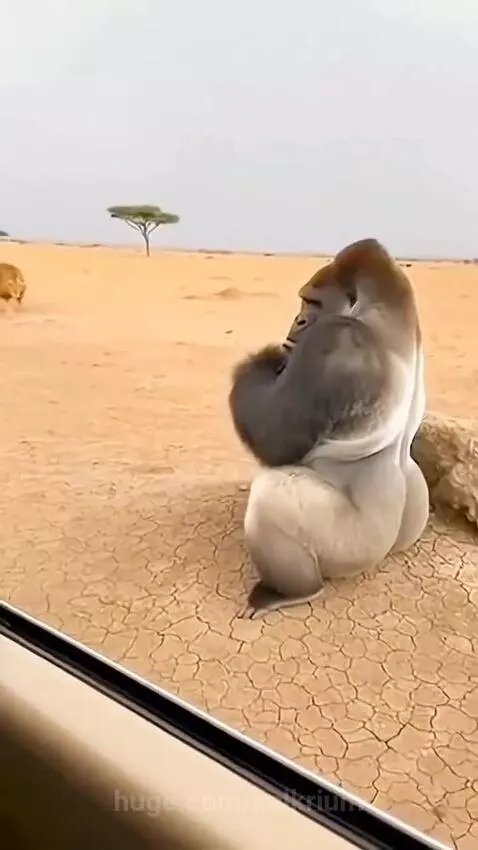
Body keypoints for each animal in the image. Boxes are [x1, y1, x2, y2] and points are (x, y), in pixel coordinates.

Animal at [228, 238, 429, 619]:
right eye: (304, 301)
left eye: (313, 302)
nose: (298, 321)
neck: (388, 306)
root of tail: (384, 553)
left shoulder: (336, 338)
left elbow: (274, 438)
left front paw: (262, 361)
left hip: (353, 548)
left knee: (273, 495)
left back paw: (291, 591)